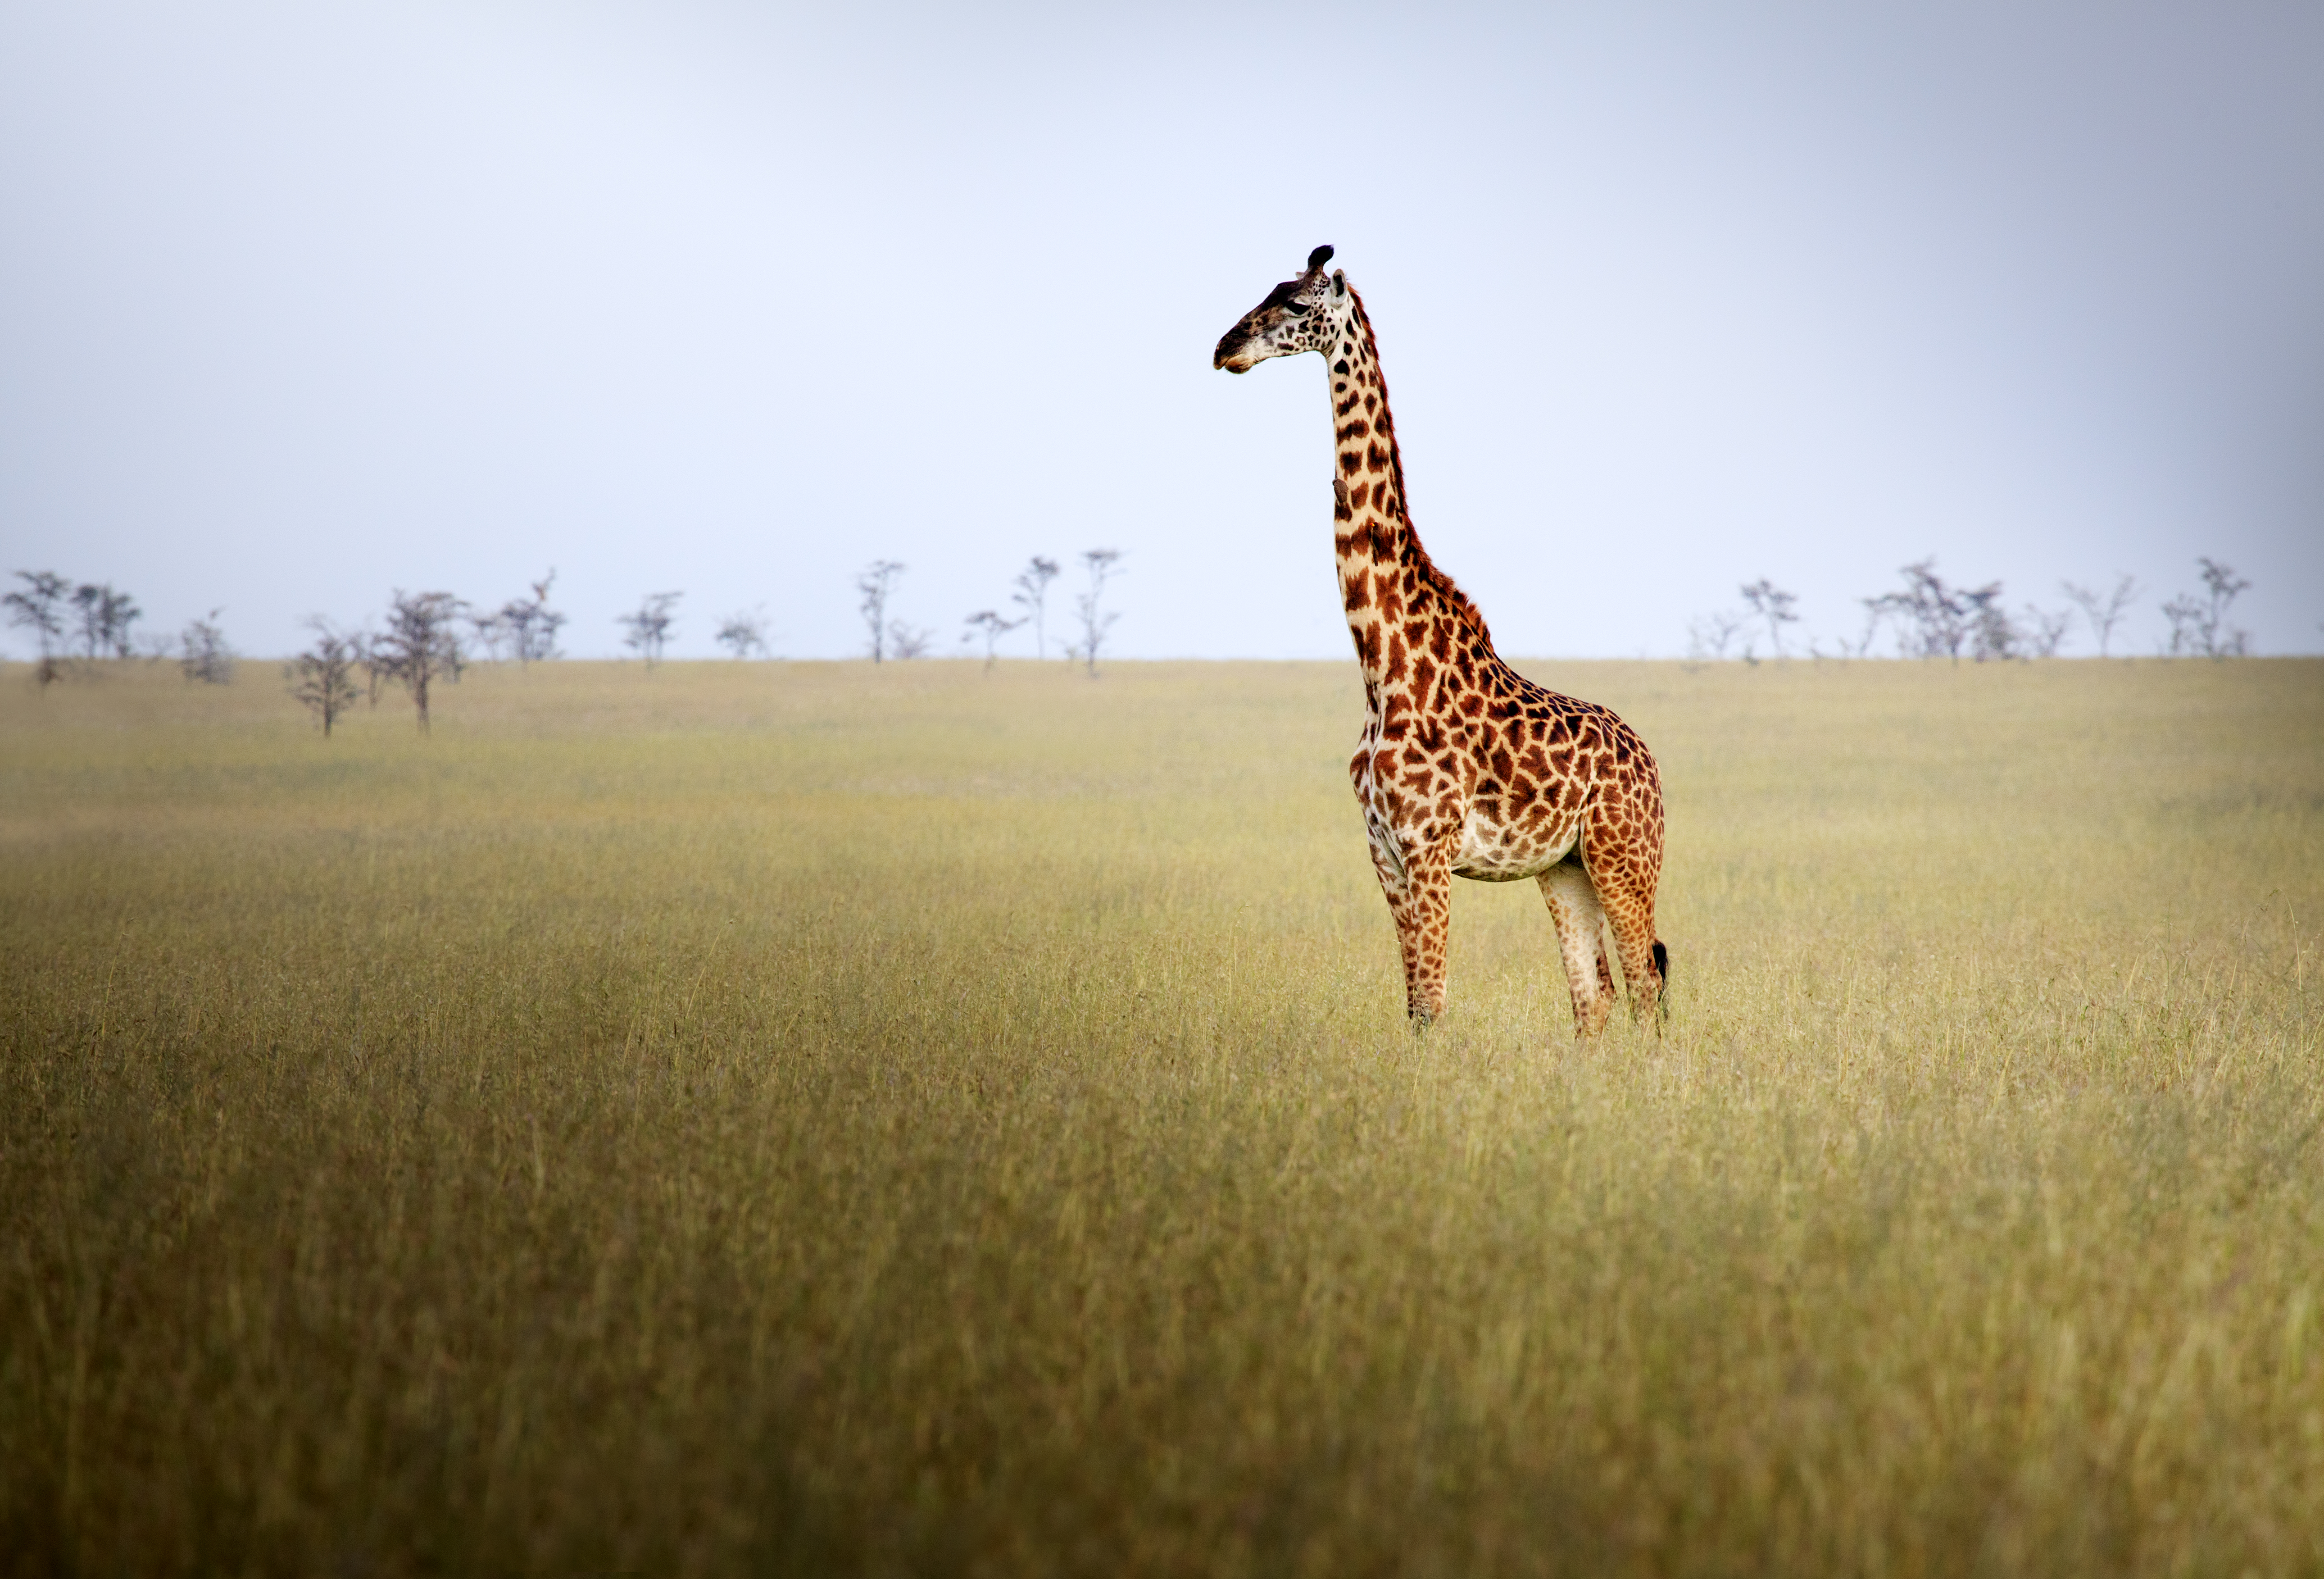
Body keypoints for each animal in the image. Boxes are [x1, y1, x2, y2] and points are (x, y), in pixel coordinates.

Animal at [1214, 246, 1668, 1035]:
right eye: (1265, 292)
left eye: (1297, 305)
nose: (1225, 348)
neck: (1383, 665)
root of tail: (1654, 769)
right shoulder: (1383, 852)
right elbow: (1414, 1008)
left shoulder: (1428, 848)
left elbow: (1432, 1002)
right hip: (1565, 866)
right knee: (1595, 998)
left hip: (1624, 857)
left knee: (1645, 992)